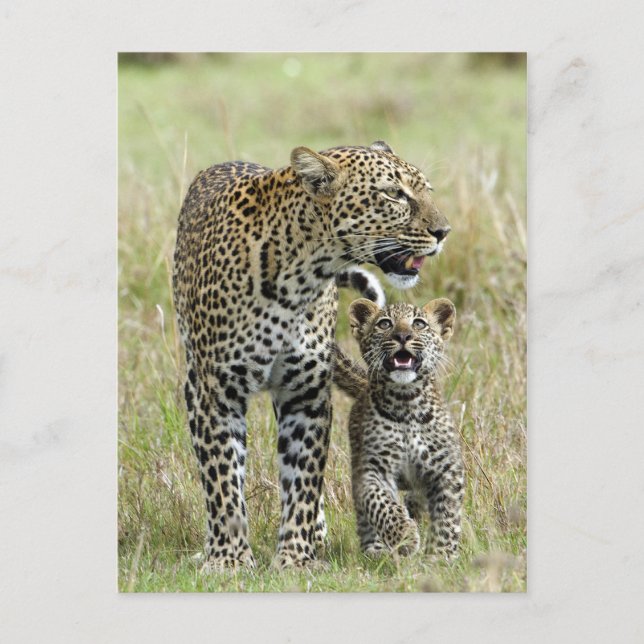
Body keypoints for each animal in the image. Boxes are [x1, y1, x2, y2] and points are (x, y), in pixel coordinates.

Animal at [172, 140, 450, 570]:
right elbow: (222, 478)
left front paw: (296, 558)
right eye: (394, 194)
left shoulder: (306, 393)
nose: (443, 232)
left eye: (427, 191)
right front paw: (229, 559)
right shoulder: (213, 391)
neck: (299, 277)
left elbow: (304, 475)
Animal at [334, 297, 464, 560]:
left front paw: (441, 555)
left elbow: (447, 516)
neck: (406, 403)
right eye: (385, 324)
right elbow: (381, 505)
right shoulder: (372, 470)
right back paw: (375, 550)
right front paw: (405, 537)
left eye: (419, 323)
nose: (403, 335)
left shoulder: (446, 470)